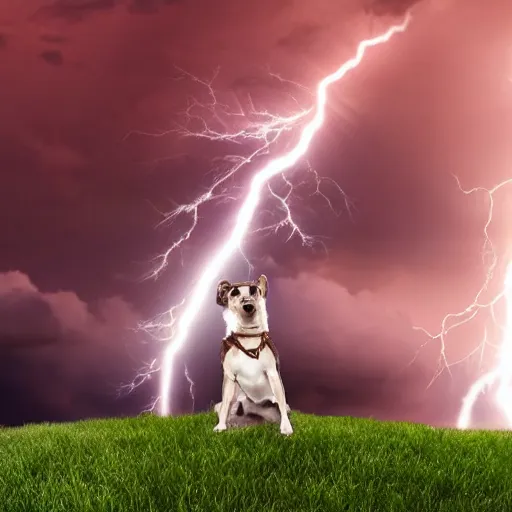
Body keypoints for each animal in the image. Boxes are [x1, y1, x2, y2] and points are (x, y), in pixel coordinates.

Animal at [213, 276, 292, 436]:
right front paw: (221, 426)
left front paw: (286, 427)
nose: (248, 305)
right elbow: (225, 404)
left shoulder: (272, 373)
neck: (248, 338)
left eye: (254, 290)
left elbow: (281, 402)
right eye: (234, 292)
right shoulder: (230, 377)